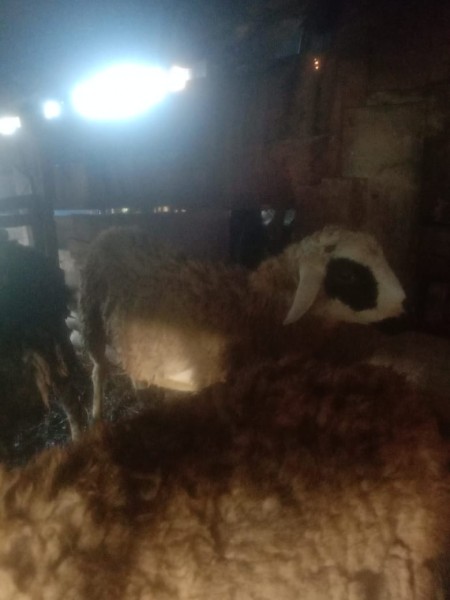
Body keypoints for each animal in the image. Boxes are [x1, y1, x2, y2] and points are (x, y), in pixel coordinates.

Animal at [80, 225, 407, 421]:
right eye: (347, 274)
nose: (403, 302)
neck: (253, 311)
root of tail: (113, 229)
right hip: (90, 316)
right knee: (98, 370)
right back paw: (95, 418)